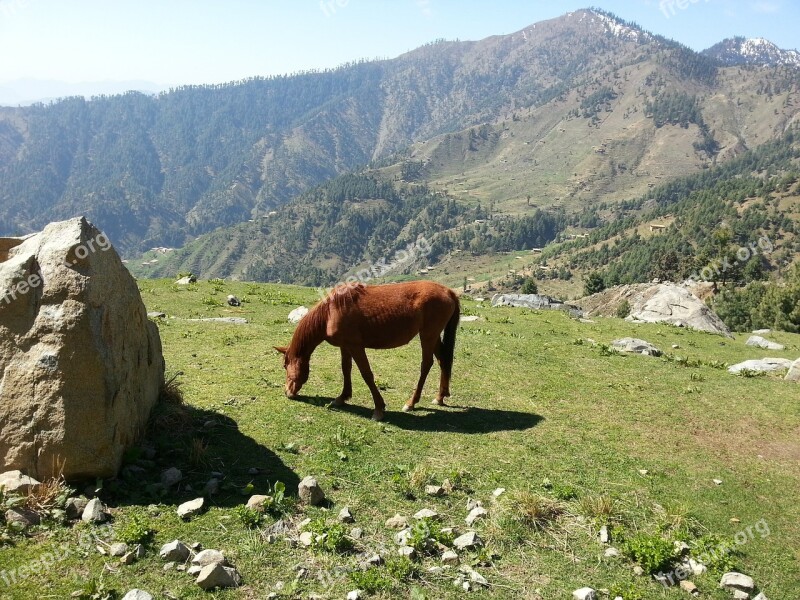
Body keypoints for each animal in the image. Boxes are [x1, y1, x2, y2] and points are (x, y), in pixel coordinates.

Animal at [278, 282, 460, 422]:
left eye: (285, 365)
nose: (287, 392)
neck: (331, 311)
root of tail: (448, 291)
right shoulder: (345, 346)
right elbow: (346, 370)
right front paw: (342, 397)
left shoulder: (356, 346)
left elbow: (366, 374)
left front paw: (378, 409)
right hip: (433, 336)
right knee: (443, 360)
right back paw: (440, 397)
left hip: (428, 335)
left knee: (426, 365)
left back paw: (411, 402)